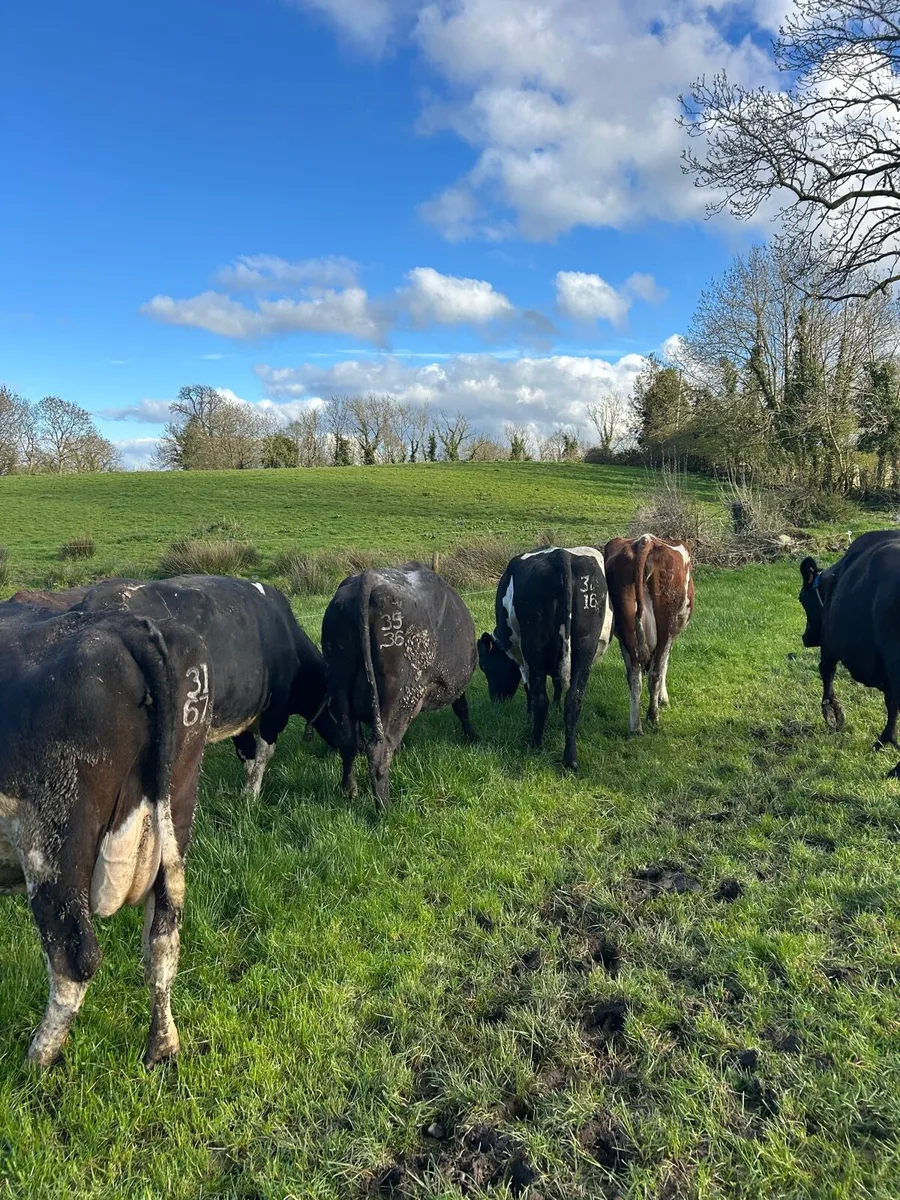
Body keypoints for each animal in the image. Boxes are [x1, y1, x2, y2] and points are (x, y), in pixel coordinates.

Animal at [0, 603, 211, 1067]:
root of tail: (125, 626)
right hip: (178, 804)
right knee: (162, 939)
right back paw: (162, 1047)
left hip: (53, 839)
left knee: (75, 956)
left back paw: (37, 1058)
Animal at [322, 563, 477, 810]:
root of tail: (368, 579)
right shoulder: (455, 685)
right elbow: (462, 709)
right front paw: (472, 736)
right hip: (402, 693)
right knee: (378, 750)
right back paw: (385, 808)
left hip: (339, 684)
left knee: (347, 740)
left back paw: (349, 790)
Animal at [477, 546, 612, 772]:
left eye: (484, 665)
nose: (496, 699)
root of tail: (560, 555)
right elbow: (557, 685)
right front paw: (556, 707)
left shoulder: (522, 660)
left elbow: (529, 689)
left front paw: (529, 714)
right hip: (585, 646)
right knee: (573, 699)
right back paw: (570, 758)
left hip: (533, 646)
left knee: (541, 698)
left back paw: (536, 744)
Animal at [604, 534, 694, 734]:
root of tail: (646, 541)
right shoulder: (671, 635)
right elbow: (664, 665)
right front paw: (663, 699)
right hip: (665, 625)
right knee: (655, 673)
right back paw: (653, 718)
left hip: (627, 628)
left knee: (634, 675)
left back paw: (635, 727)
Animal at [799, 530, 900, 774]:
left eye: (801, 598)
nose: (805, 638)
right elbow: (891, 704)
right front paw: (886, 739)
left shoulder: (830, 644)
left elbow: (826, 674)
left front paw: (832, 713)